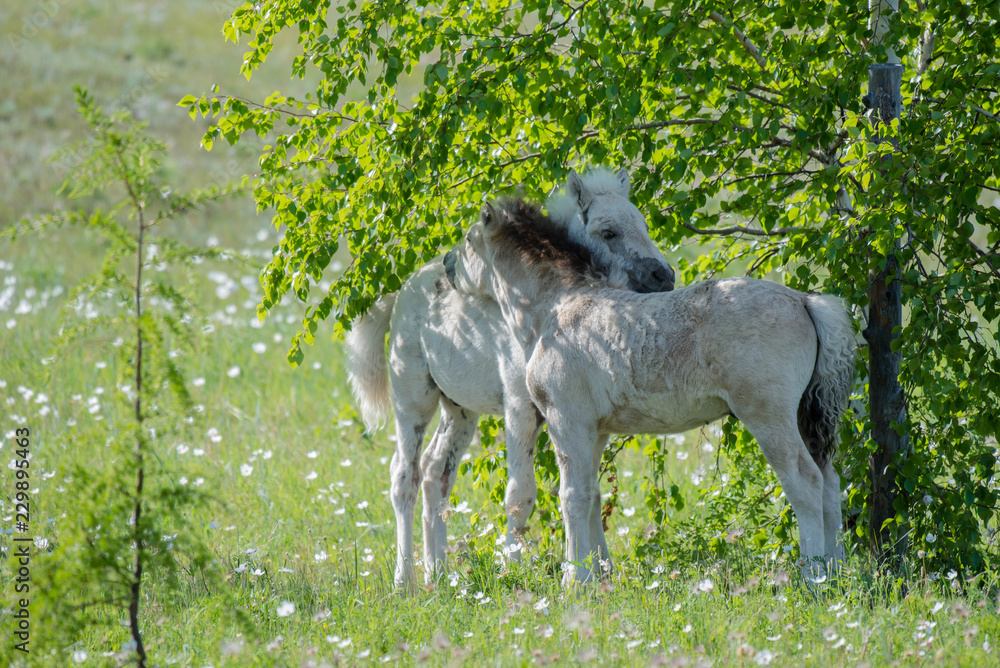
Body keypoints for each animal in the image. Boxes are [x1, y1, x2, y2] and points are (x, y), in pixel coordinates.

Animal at [344, 168, 676, 589]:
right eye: (608, 232)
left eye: (644, 225)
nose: (664, 275)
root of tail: (403, 288)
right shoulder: (521, 407)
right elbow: (521, 494)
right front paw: (511, 569)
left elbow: (591, 490)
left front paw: (602, 571)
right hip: (412, 400)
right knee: (405, 477)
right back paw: (406, 581)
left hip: (460, 409)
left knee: (436, 472)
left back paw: (440, 574)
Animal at [445, 198, 856, 586]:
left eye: (468, 240)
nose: (447, 266)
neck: (557, 308)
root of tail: (805, 300)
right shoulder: (596, 430)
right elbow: (591, 495)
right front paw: (601, 577)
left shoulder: (567, 421)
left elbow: (571, 497)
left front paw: (574, 581)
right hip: (803, 415)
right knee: (830, 483)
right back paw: (837, 573)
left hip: (768, 416)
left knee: (806, 482)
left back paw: (814, 577)